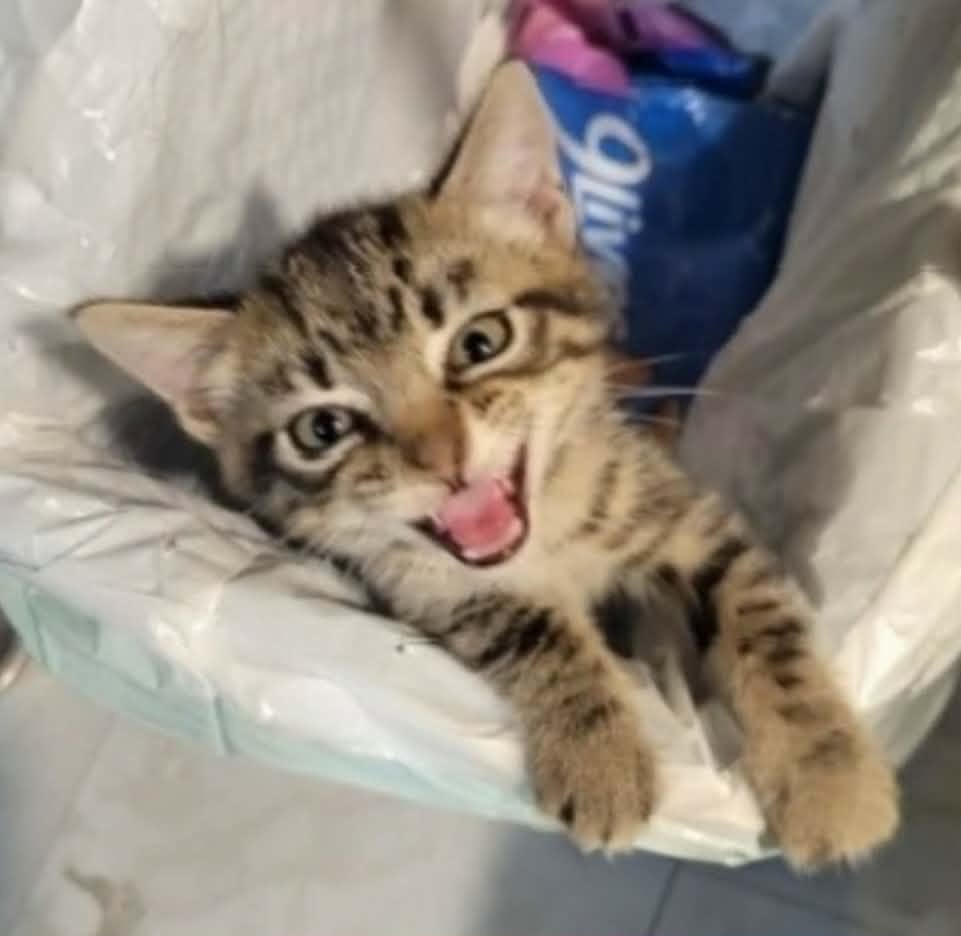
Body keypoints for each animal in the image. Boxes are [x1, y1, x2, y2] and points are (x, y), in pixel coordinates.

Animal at [73, 62, 898, 869]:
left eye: (480, 342)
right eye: (323, 428)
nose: (443, 460)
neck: (552, 539)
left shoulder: (678, 511)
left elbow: (762, 617)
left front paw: (830, 776)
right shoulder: (429, 588)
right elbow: (528, 628)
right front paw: (599, 757)